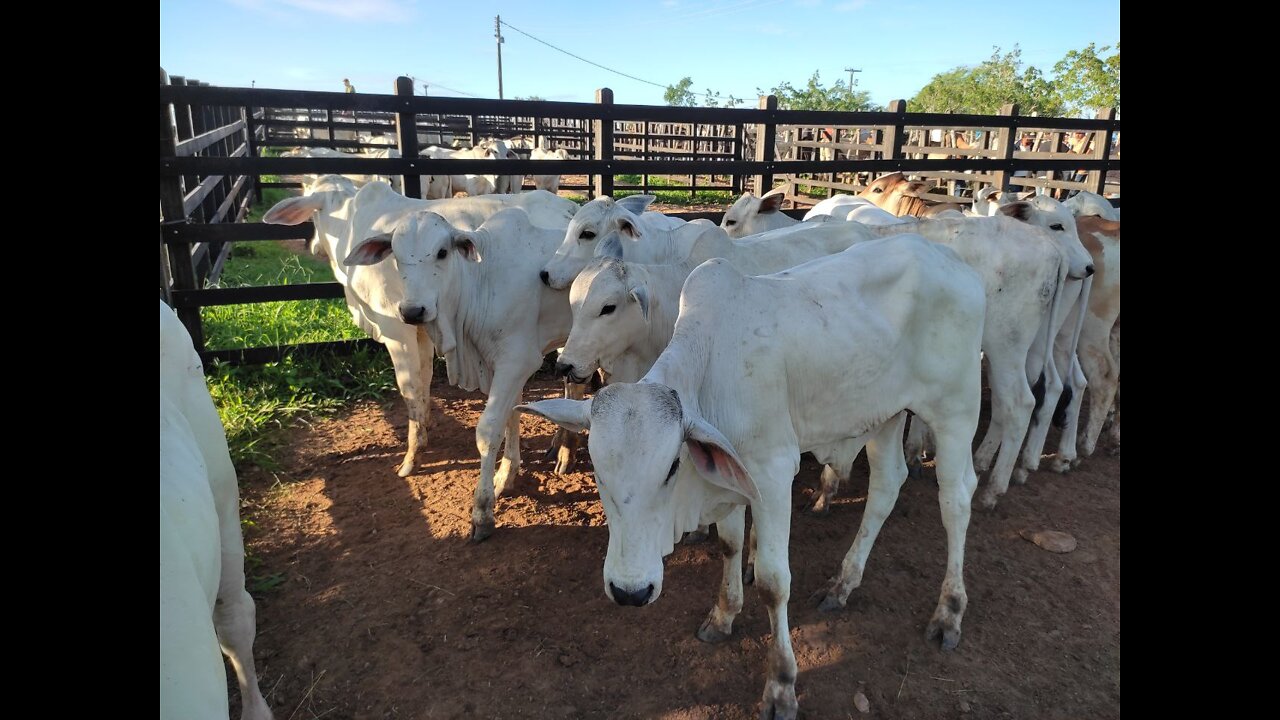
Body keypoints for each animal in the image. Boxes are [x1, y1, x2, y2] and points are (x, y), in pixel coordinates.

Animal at [264, 176, 576, 474]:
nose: (314, 246)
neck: (350, 220)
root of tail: (568, 208)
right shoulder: (422, 328)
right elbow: (424, 380)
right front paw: (424, 428)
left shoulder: (396, 330)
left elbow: (409, 387)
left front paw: (412, 455)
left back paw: (563, 449)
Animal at [343, 204, 578, 535]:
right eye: (396, 255)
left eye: (442, 252)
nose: (413, 311)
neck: (482, 280)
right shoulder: (502, 365)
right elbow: (512, 416)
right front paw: (506, 476)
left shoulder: (516, 360)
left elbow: (488, 430)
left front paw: (482, 510)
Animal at [519, 233, 977, 712]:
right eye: (598, 472)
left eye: (672, 466)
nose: (630, 592)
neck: (712, 368)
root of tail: (949, 258)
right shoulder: (729, 474)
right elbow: (730, 544)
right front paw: (723, 616)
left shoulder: (774, 473)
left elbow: (774, 583)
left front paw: (781, 683)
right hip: (884, 415)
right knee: (886, 486)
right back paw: (842, 584)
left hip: (955, 409)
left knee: (956, 499)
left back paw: (949, 611)